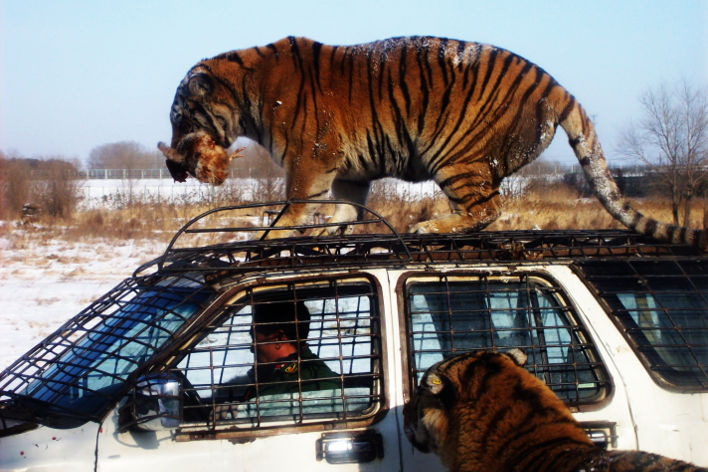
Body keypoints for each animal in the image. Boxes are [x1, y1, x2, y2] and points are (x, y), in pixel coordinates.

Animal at [157, 36, 707, 247]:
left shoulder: (309, 159)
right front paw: (329, 229)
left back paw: (430, 226)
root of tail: (554, 83)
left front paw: (269, 237)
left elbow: (292, 208)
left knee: (488, 209)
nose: (171, 164)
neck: (245, 94)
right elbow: (345, 210)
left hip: (455, 155)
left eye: (179, 119)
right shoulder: (348, 172)